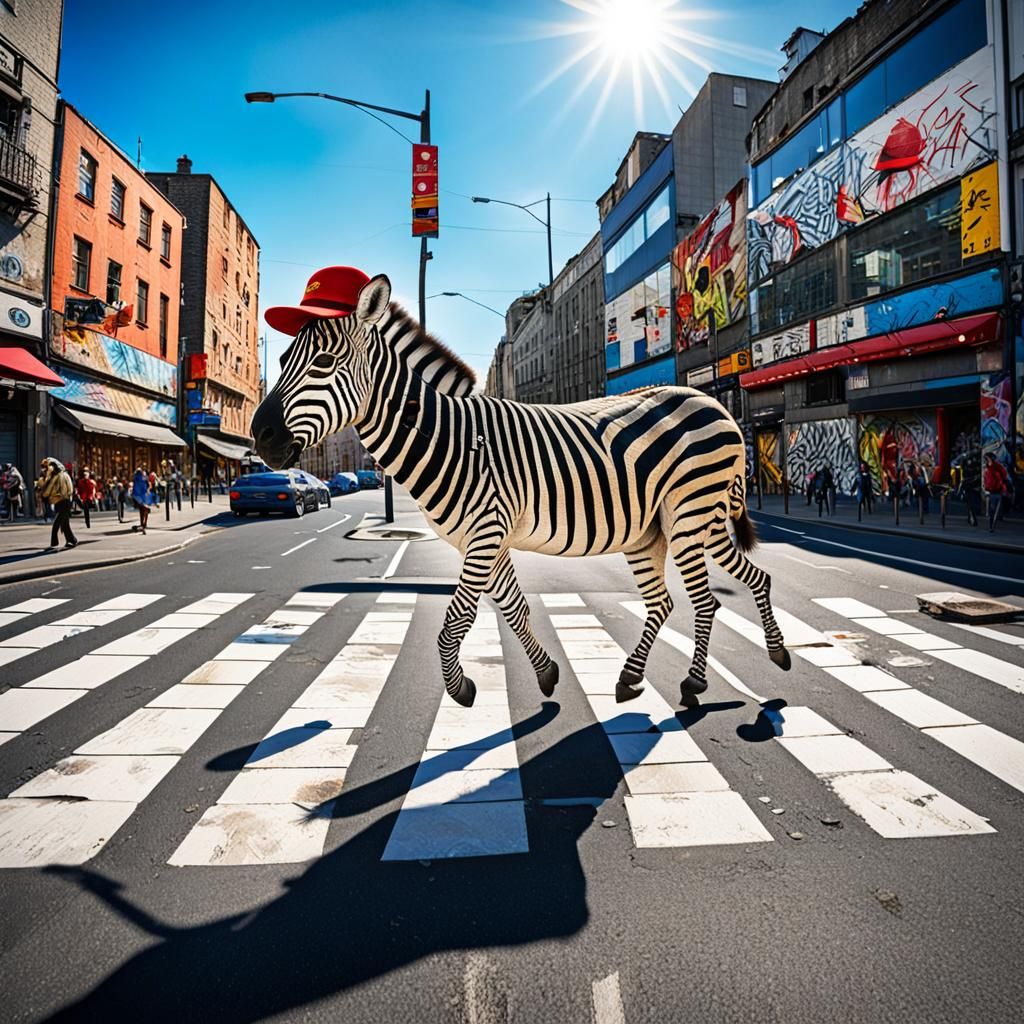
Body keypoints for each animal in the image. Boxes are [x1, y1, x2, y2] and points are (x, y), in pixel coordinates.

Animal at [251, 273, 790, 708]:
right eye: (284, 357)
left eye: (323, 361)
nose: (260, 436)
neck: (447, 437)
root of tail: (712, 403)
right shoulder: (483, 540)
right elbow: (513, 607)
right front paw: (547, 673)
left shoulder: (485, 533)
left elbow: (457, 620)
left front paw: (461, 689)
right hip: (664, 528)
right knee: (708, 592)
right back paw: (663, 673)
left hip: (689, 514)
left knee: (706, 601)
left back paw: (697, 682)